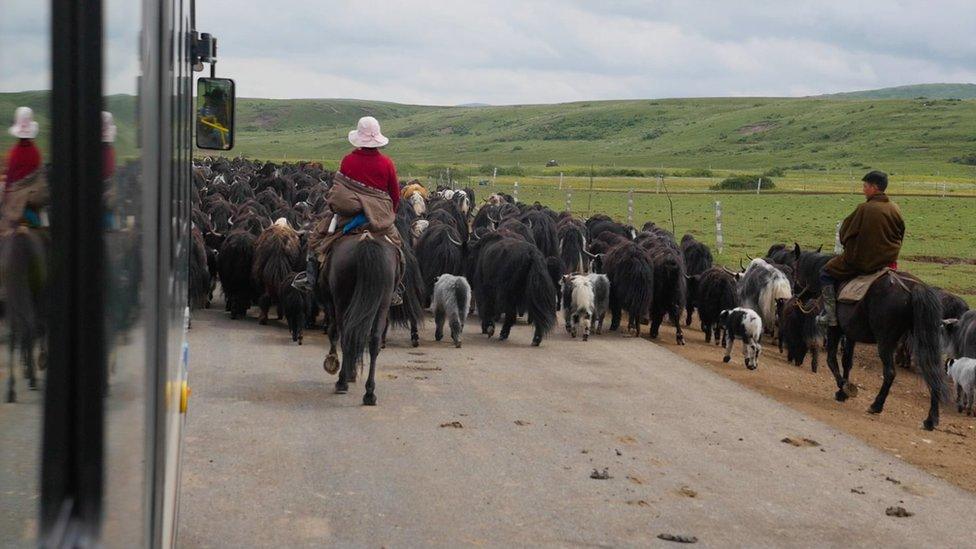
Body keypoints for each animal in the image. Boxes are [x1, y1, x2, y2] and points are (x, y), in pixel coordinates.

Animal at [320, 233, 396, 404]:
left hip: (342, 300)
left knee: (346, 336)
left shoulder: (331, 301)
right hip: (383, 303)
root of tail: (366, 241)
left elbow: (333, 331)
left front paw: (333, 362)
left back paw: (342, 381)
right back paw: (369, 393)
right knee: (374, 341)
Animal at [796, 250, 948, 430]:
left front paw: (844, 389)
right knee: (933, 372)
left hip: (885, 341)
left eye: (794, 270)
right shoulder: (851, 334)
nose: (797, 296)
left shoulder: (835, 329)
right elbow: (847, 362)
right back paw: (931, 419)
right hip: (924, 338)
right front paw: (842, 391)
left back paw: (876, 405)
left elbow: (831, 359)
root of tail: (914, 287)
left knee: (890, 372)